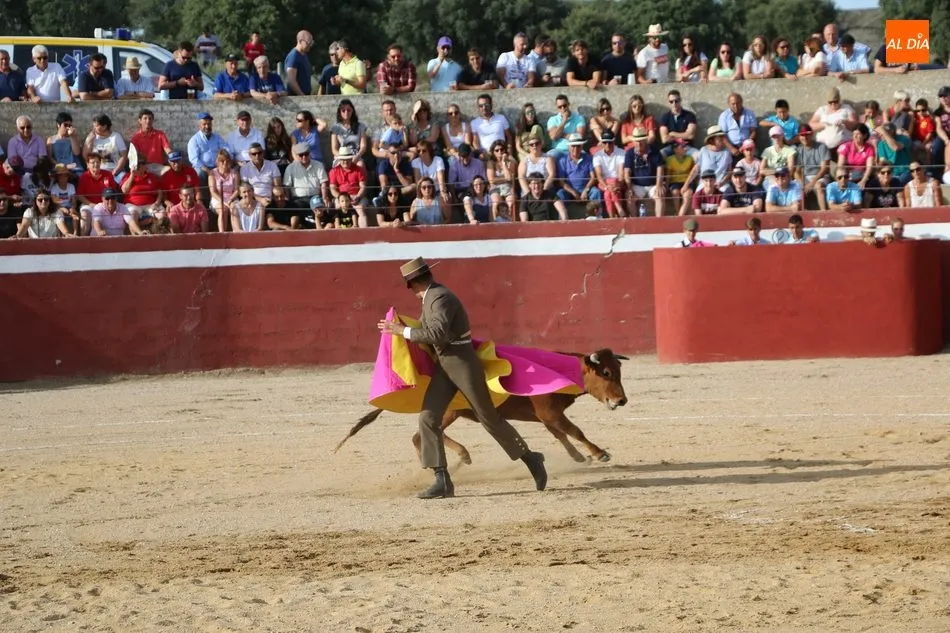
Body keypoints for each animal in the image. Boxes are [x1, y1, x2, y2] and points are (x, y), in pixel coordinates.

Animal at [333, 348, 629, 465]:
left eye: (618, 370)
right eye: (605, 373)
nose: (621, 401)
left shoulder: (547, 418)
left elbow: (562, 436)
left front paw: (579, 457)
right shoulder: (551, 413)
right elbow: (576, 431)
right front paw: (600, 453)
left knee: (421, 436)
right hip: (449, 411)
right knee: (423, 435)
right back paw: (460, 456)